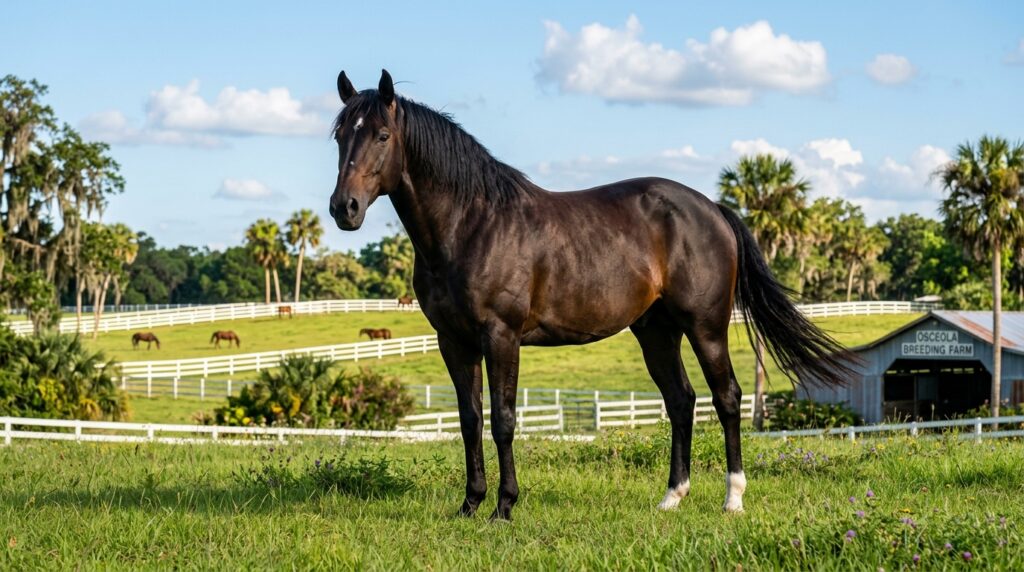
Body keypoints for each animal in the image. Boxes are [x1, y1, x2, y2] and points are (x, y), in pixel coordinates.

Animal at [327, 70, 854, 521]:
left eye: (382, 135)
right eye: (339, 136)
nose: (343, 208)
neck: (472, 224)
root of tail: (713, 210)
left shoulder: (501, 337)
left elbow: (503, 420)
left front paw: (504, 507)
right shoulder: (453, 342)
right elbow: (469, 420)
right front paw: (470, 505)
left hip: (705, 328)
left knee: (726, 397)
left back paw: (733, 499)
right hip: (656, 332)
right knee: (681, 401)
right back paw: (672, 497)